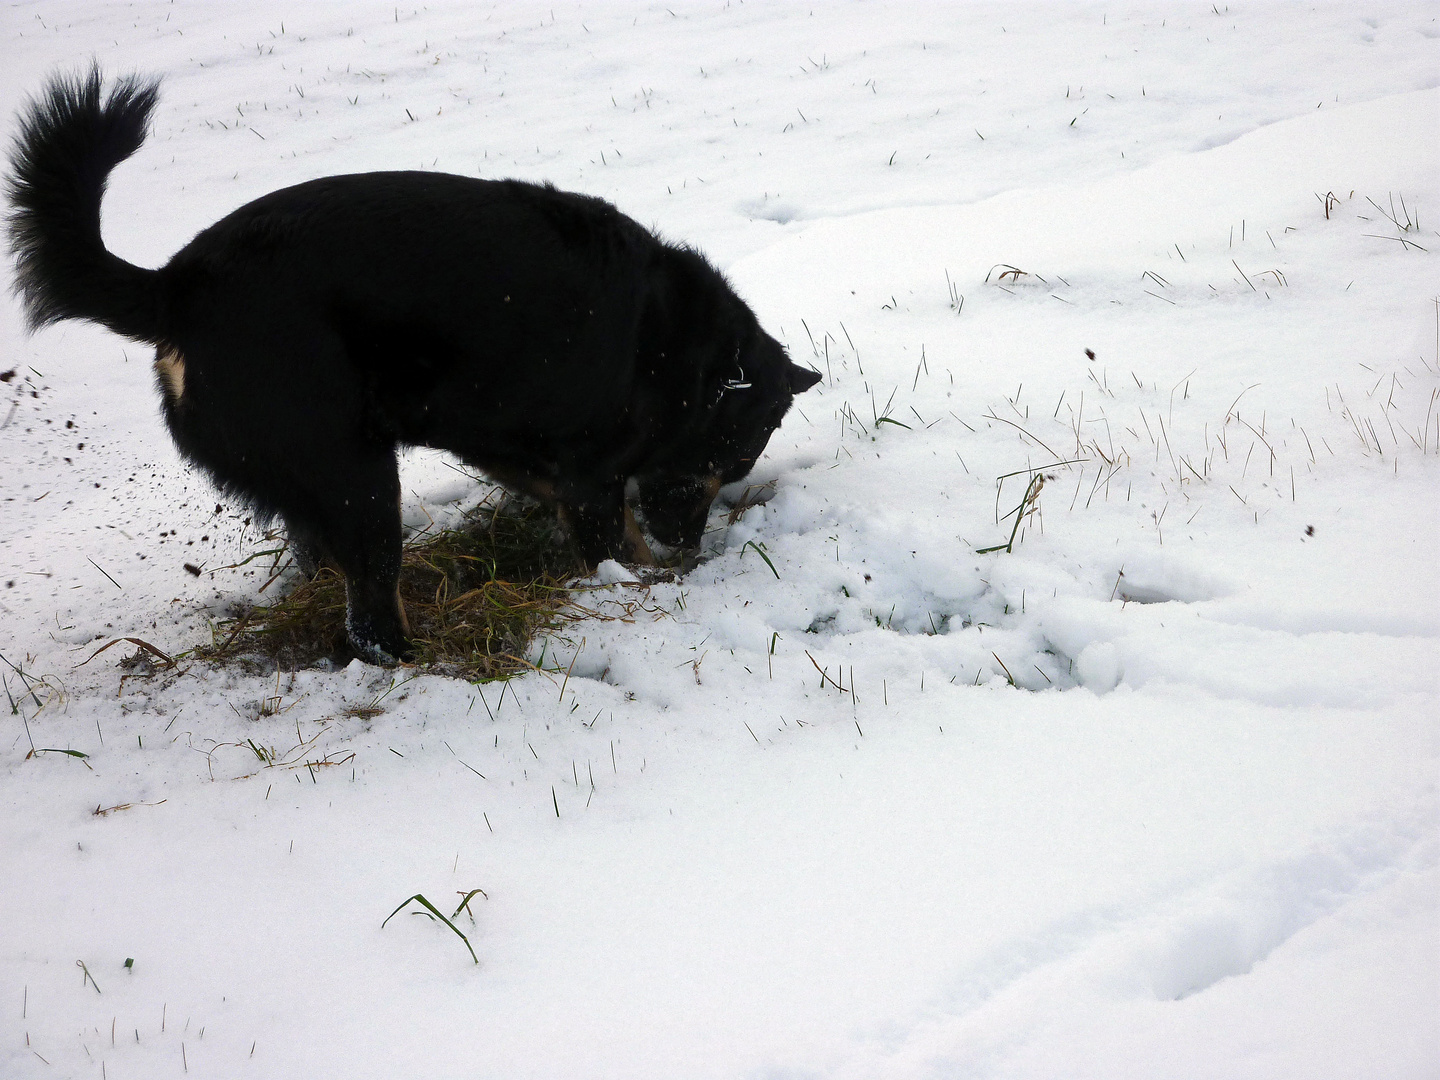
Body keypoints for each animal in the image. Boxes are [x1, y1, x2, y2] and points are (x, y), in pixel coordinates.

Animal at [8, 69, 823, 659]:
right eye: (730, 461)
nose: (691, 547)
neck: (696, 362)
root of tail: (174, 286)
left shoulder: (519, 447)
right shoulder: (592, 478)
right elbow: (617, 545)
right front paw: (647, 580)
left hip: (317, 481)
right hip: (358, 477)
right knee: (371, 620)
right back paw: (423, 658)